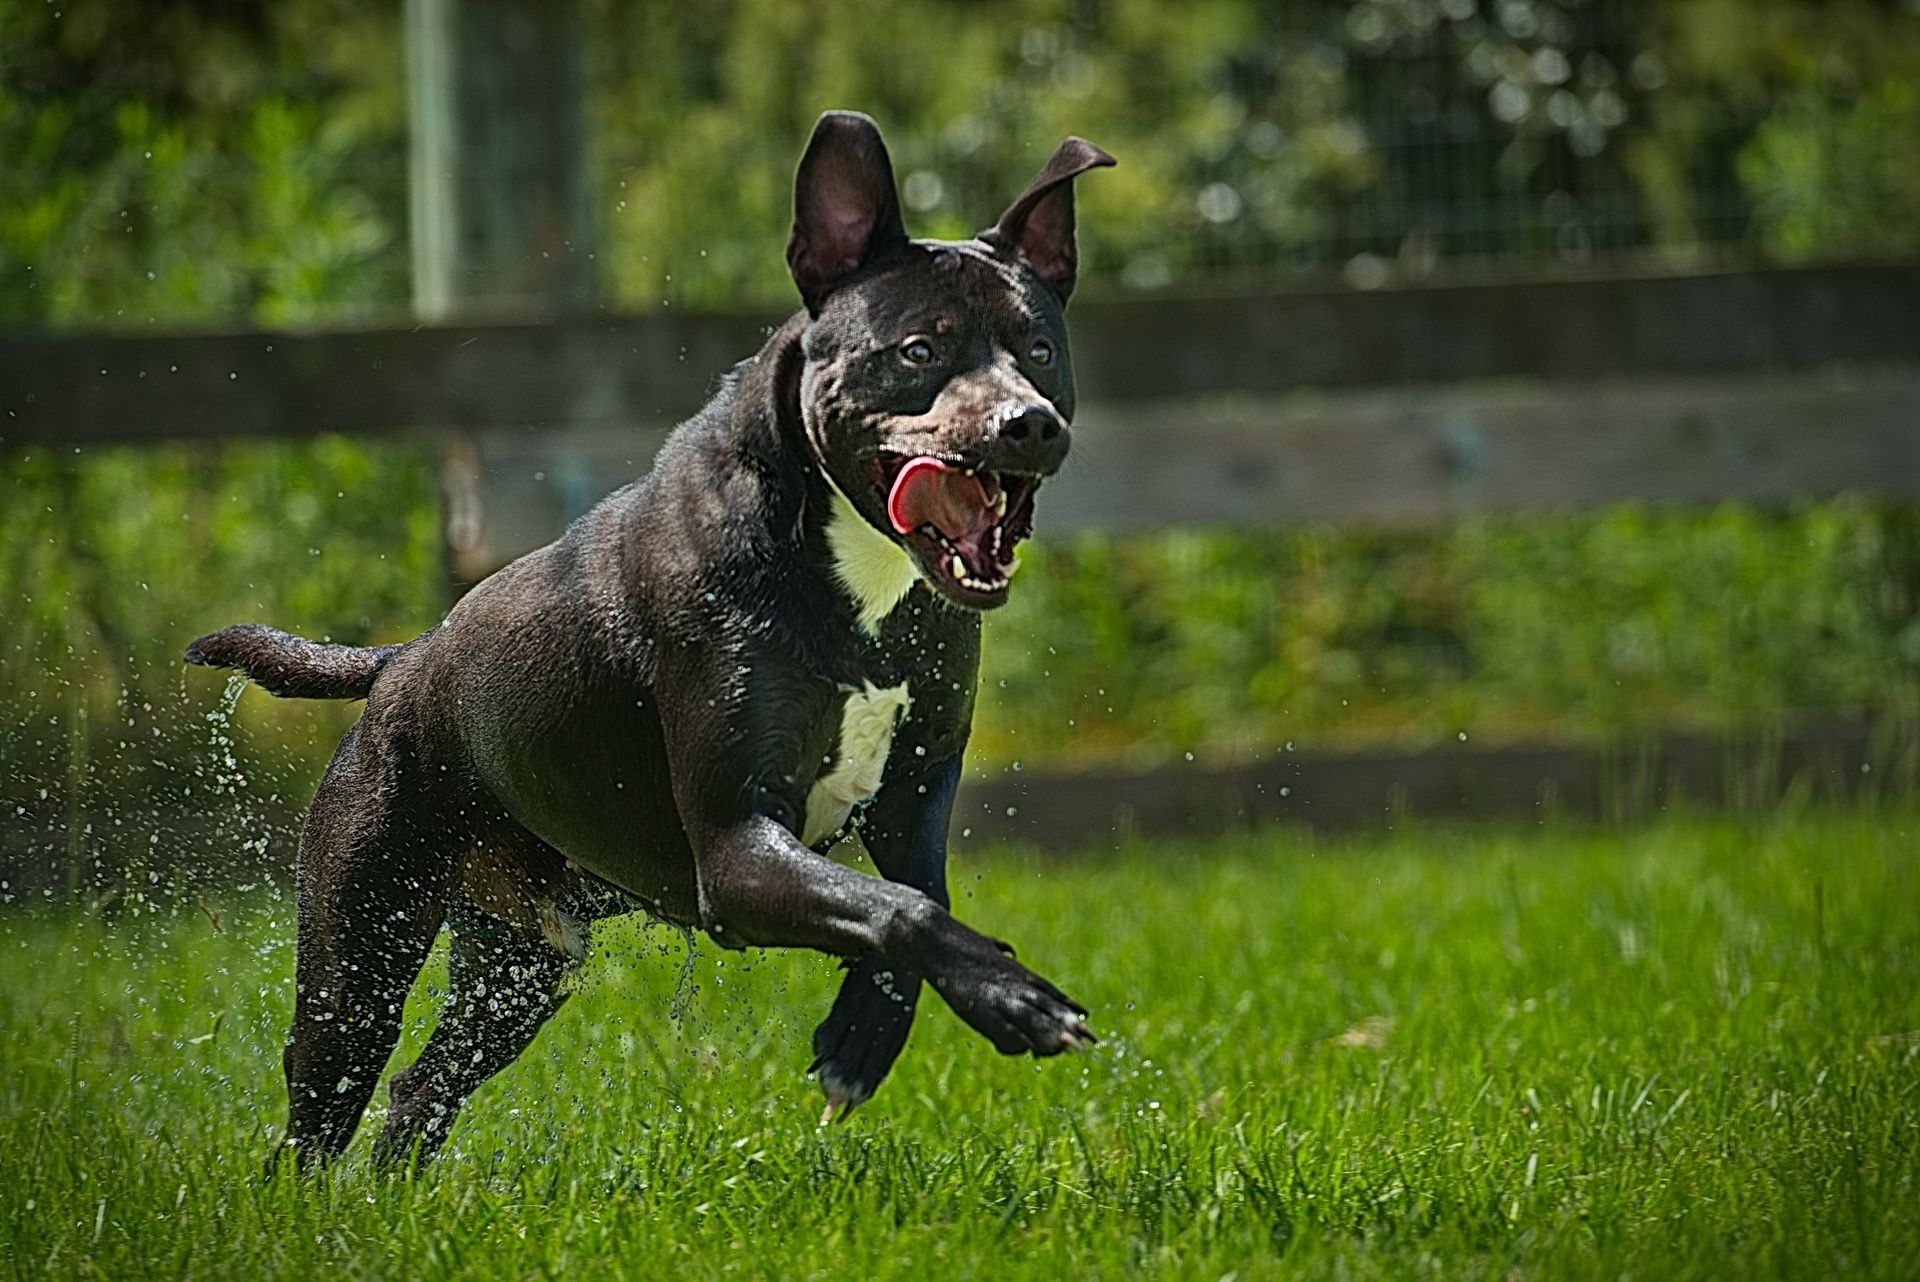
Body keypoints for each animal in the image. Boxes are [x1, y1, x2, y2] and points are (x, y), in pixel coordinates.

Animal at [187, 112, 1121, 1174]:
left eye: (1038, 349)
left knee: (420, 1092)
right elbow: (897, 910)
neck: (854, 575)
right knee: (322, 1107)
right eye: (920, 349)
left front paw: (864, 1036)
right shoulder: (736, 850)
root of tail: (402, 664)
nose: (1028, 424)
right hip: (362, 946)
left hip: (521, 969)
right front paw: (1019, 1002)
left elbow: (915, 899)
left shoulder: (914, 791)